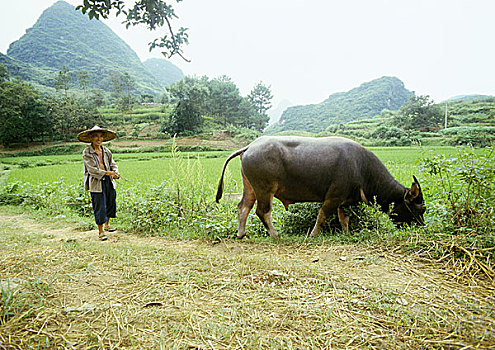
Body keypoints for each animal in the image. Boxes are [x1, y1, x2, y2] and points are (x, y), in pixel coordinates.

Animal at [217, 135, 426, 239]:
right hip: (265, 189)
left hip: (250, 187)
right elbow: (323, 215)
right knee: (262, 211)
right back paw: (275, 234)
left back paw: (241, 233)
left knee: (243, 207)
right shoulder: (333, 197)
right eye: (420, 208)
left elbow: (344, 218)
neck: (361, 168)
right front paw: (314, 234)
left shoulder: (344, 200)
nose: (421, 226)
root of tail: (250, 147)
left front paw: (346, 233)